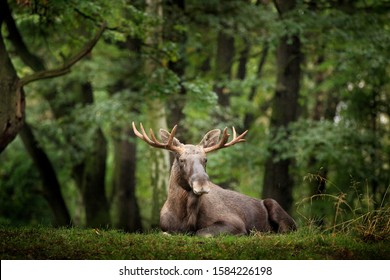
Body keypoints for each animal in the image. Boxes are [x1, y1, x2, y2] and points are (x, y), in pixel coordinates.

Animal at [132, 122, 296, 236]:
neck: (186, 218)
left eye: (205, 159)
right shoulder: (165, 227)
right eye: (181, 159)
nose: (202, 184)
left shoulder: (235, 222)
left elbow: (202, 233)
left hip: (278, 209)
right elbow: (165, 233)